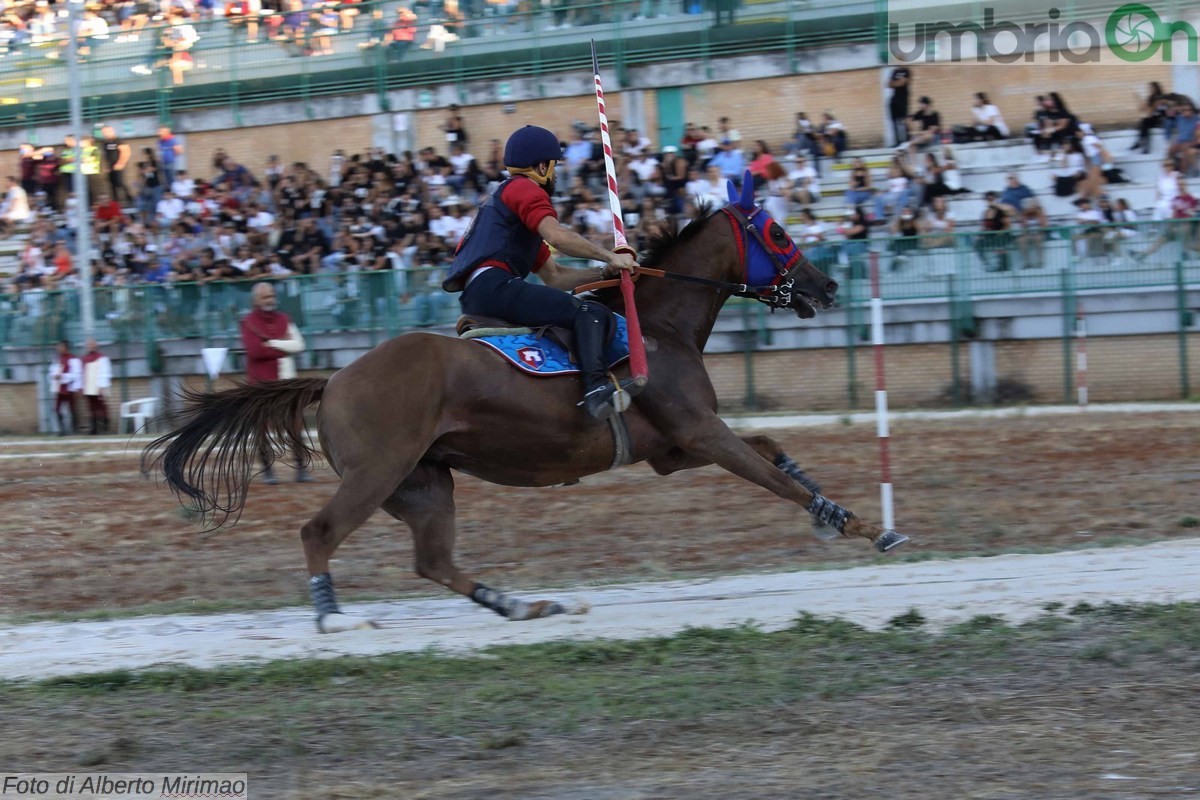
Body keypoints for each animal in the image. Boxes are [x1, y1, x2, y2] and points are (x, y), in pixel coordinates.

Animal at [142, 184, 907, 633]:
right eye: (777, 234)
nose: (827, 286)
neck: (656, 323)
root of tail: (332, 382)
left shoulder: (675, 448)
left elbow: (775, 451)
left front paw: (835, 514)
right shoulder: (701, 434)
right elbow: (771, 473)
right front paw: (860, 523)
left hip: (424, 484)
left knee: (434, 562)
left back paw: (524, 603)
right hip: (378, 473)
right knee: (319, 532)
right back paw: (333, 618)